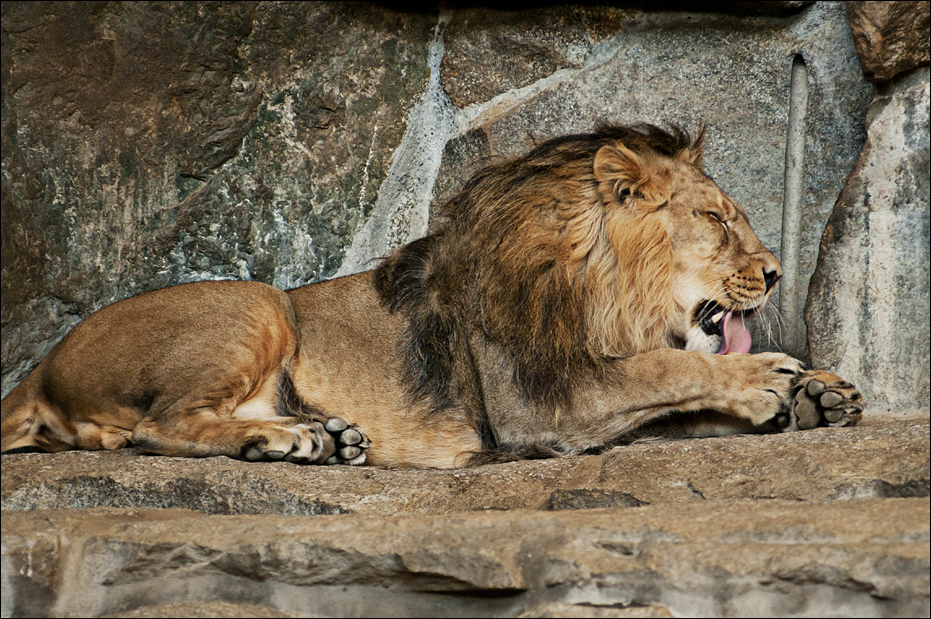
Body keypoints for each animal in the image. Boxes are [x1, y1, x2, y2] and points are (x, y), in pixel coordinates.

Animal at [1, 123, 865, 468]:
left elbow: (674, 401)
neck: (607, 296)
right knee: (157, 427)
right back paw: (288, 440)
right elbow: (666, 370)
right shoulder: (537, 403)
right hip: (258, 300)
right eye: (716, 220)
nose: (775, 273)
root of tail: (37, 369)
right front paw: (767, 378)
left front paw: (819, 394)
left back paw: (323, 437)